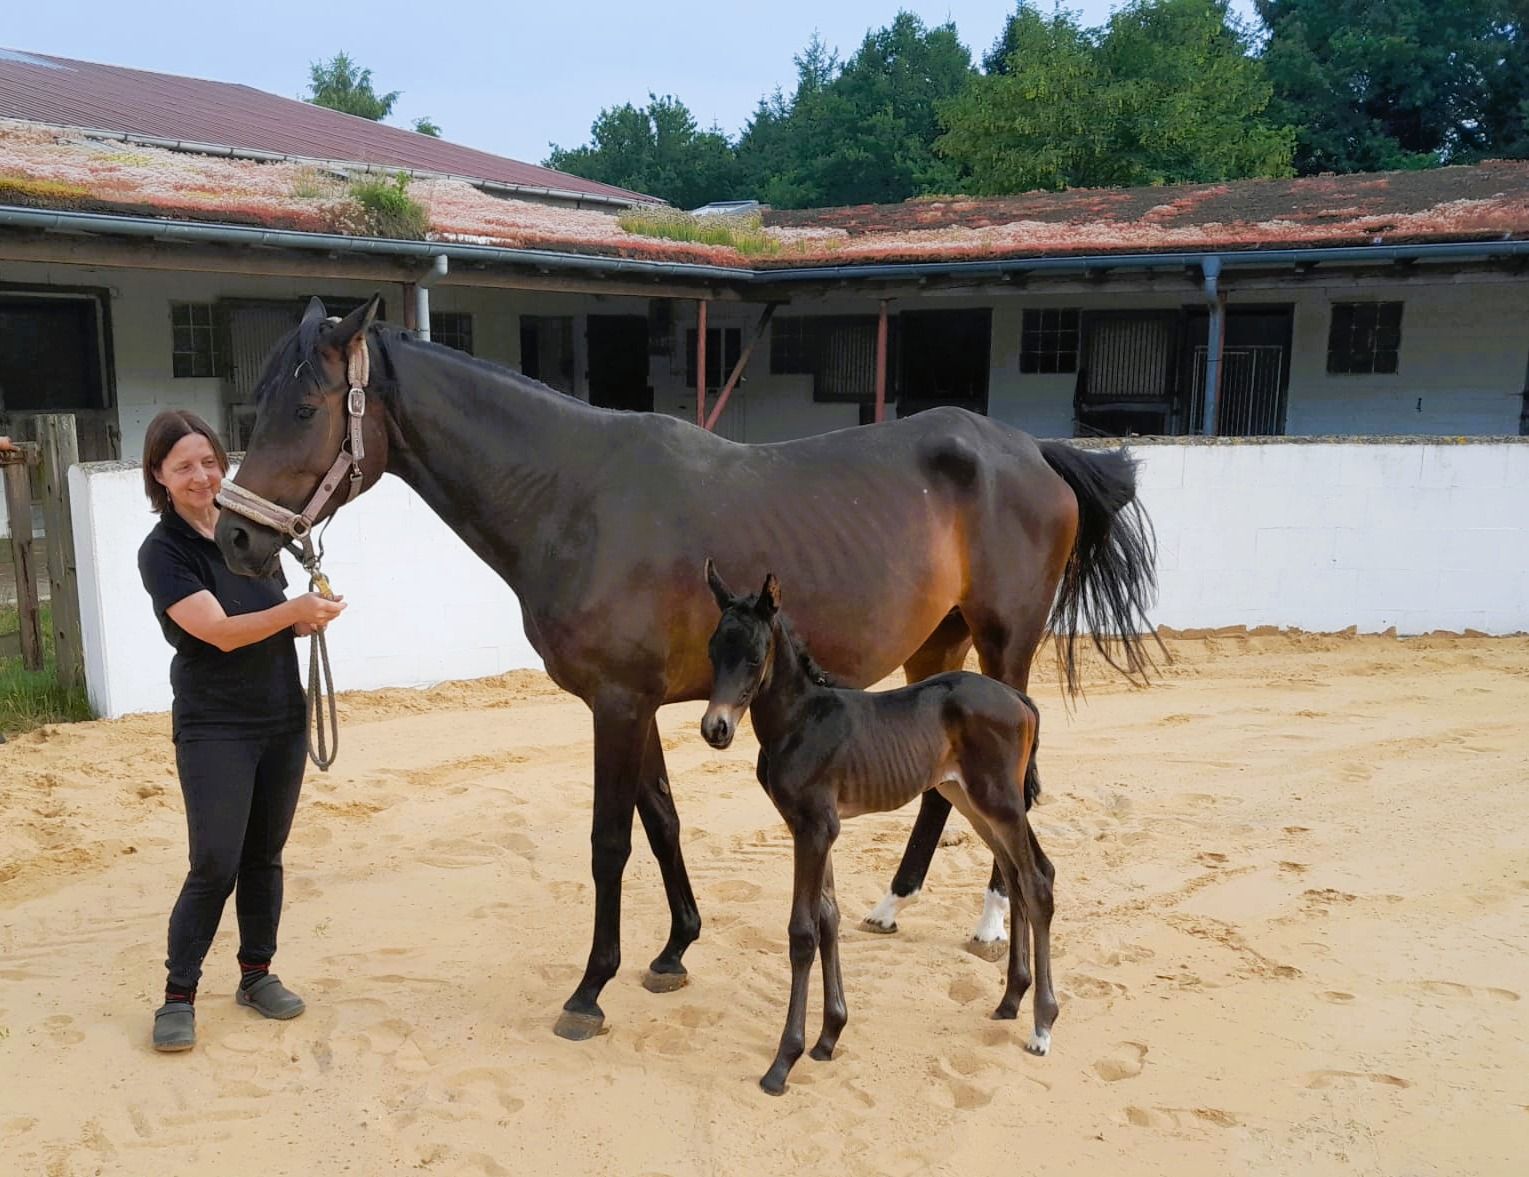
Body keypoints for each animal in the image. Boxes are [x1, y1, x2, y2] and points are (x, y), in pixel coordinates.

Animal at [700, 561, 1055, 1094]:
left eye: (755, 656)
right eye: (712, 650)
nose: (715, 728)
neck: (800, 721)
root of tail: (1019, 698)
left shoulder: (815, 828)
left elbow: (802, 932)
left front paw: (784, 1061)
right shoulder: (812, 827)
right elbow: (828, 918)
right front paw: (829, 1037)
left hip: (1000, 801)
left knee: (1035, 882)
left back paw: (1042, 1025)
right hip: (970, 799)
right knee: (1018, 875)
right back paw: (1011, 1000)